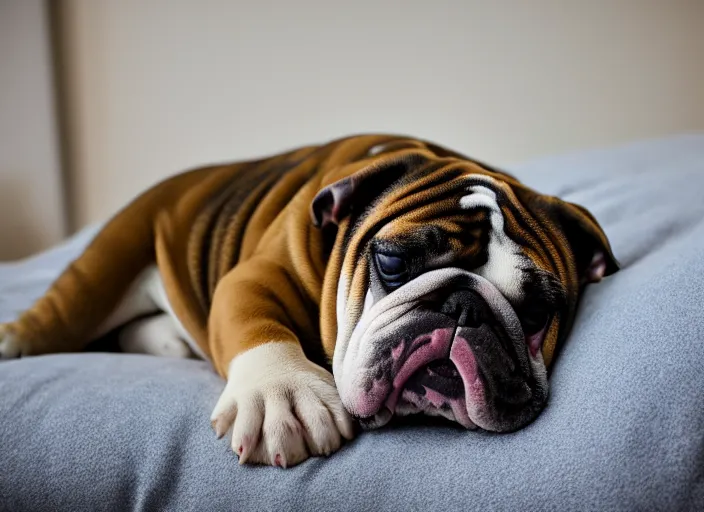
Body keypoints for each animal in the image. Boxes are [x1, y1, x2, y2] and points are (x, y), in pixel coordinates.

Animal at [0, 135, 616, 468]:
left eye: (535, 312)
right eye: (392, 264)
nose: (463, 309)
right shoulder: (257, 275)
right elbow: (256, 322)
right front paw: (284, 395)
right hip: (110, 258)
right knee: (64, 310)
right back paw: (16, 339)